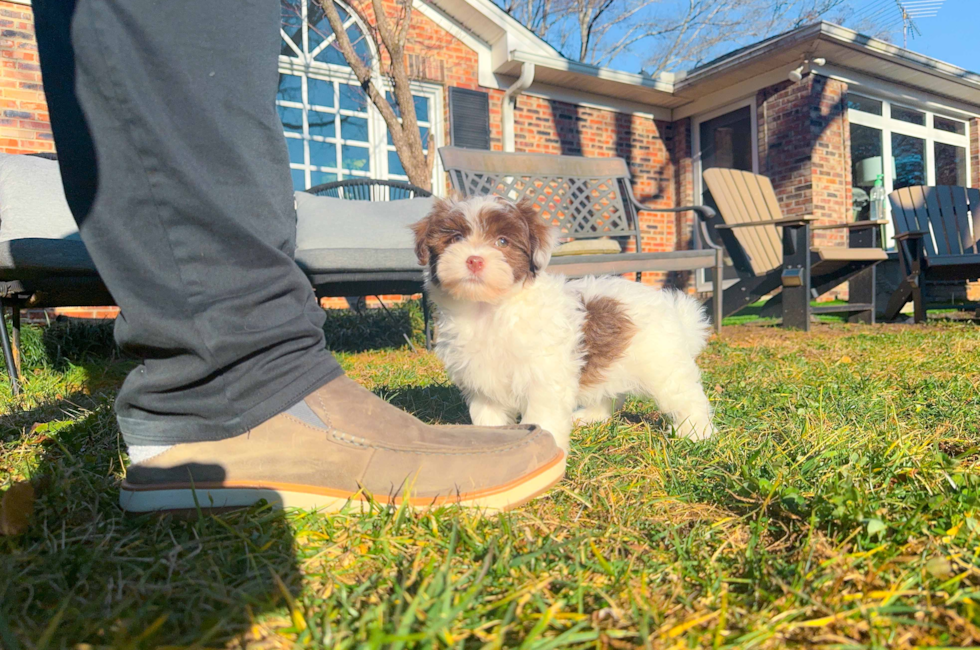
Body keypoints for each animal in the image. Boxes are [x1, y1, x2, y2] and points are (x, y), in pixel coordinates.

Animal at [410, 195, 716, 450]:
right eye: (455, 238)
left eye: (502, 242)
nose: (474, 260)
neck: (489, 309)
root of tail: (672, 307)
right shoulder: (482, 383)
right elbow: (488, 418)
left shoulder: (544, 378)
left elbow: (542, 418)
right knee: (607, 394)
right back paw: (591, 416)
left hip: (662, 365)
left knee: (686, 396)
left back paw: (696, 432)